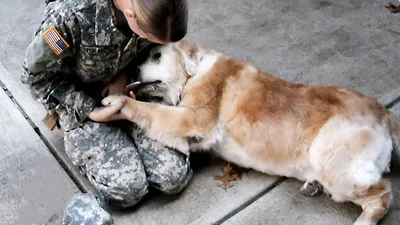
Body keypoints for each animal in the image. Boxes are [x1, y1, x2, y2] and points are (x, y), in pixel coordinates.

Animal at [102, 39, 400, 224]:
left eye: (156, 56)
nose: (131, 71)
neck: (193, 74)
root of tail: (384, 113)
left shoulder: (193, 118)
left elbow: (149, 110)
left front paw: (118, 102)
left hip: (334, 160)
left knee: (383, 194)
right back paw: (313, 184)